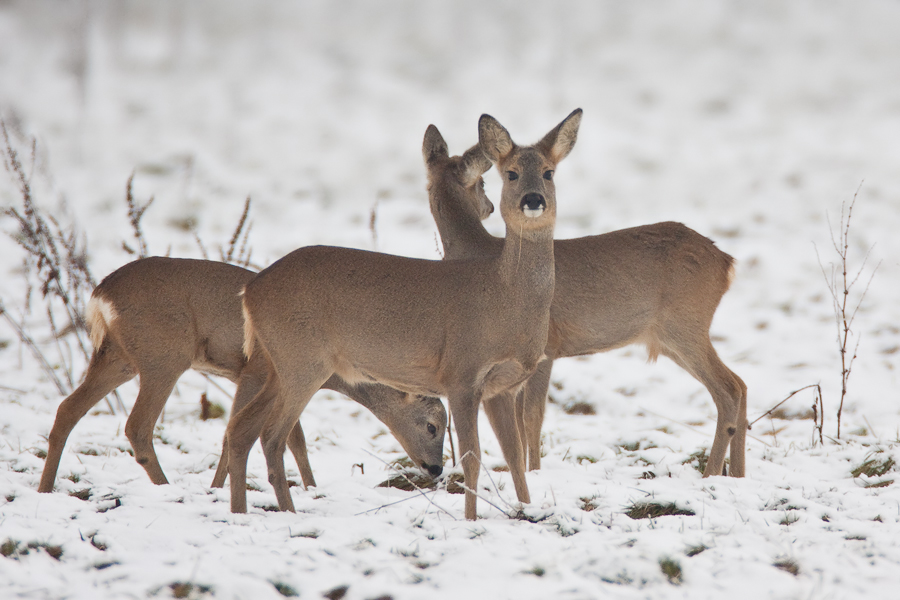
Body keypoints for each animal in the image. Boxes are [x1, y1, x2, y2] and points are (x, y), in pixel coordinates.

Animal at [37, 255, 446, 494]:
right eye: (432, 425)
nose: (437, 468)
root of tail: (99, 295)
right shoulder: (263, 372)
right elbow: (278, 436)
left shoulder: (247, 376)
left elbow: (257, 435)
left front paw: (221, 489)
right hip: (163, 355)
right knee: (137, 425)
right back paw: (168, 490)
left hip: (118, 356)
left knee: (66, 409)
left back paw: (45, 487)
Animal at [225, 109, 584, 520]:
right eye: (509, 173)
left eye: (548, 172)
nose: (533, 199)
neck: (506, 299)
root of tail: (250, 290)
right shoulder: (462, 373)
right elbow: (473, 457)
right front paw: (471, 519)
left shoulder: (503, 386)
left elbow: (513, 455)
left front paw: (527, 509)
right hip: (303, 360)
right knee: (272, 435)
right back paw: (288, 512)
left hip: (276, 363)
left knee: (242, 428)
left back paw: (241, 511)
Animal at [428, 129, 744, 476]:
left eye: (484, 182)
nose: (488, 208)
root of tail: (726, 261)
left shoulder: (547, 347)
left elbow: (531, 416)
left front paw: (534, 472)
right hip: (670, 337)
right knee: (741, 384)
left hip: (685, 324)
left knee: (729, 389)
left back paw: (711, 473)